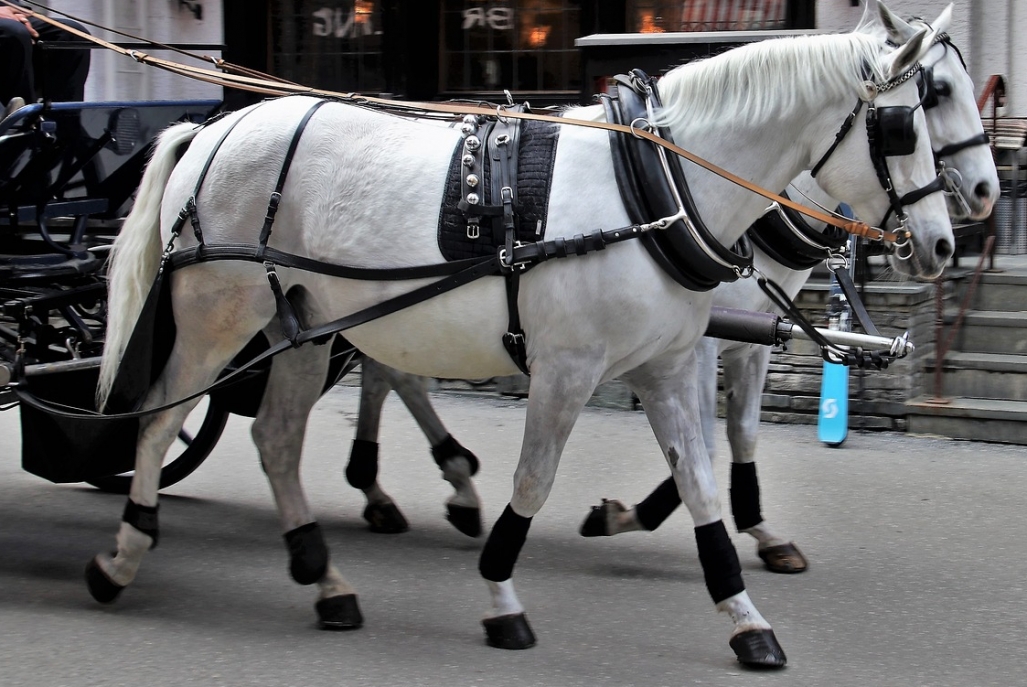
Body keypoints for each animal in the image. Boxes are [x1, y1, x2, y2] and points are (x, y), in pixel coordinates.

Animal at [90, 8, 953, 665]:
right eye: (905, 122)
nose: (946, 241)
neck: (654, 188)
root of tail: (214, 128)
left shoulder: (671, 363)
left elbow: (703, 478)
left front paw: (745, 617)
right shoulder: (567, 368)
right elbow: (534, 482)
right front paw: (501, 594)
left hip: (301, 323)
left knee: (275, 435)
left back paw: (326, 576)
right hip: (217, 317)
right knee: (161, 419)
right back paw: (124, 553)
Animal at [575, 2, 998, 575]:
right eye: (937, 92)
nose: (986, 192)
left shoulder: (754, 336)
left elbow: (742, 432)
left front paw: (760, 530)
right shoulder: (699, 342)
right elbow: (703, 441)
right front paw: (632, 515)